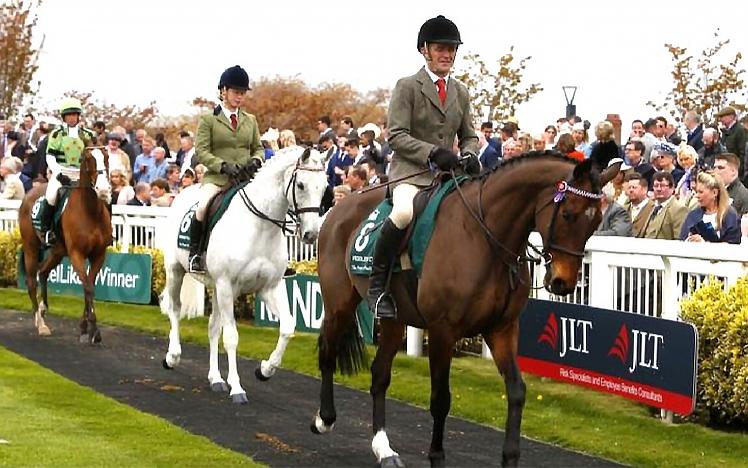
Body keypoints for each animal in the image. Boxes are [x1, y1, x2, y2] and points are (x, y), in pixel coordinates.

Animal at [18, 147, 112, 344]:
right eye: (89, 160)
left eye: (107, 158)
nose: (104, 190)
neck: (90, 212)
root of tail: (29, 193)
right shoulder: (77, 254)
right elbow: (87, 287)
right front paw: (94, 330)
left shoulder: (99, 255)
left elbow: (90, 285)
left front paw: (84, 328)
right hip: (31, 247)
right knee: (31, 281)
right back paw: (41, 324)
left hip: (57, 252)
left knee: (43, 272)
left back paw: (43, 308)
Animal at [161, 146, 328, 402]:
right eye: (300, 185)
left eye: (326, 186)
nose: (311, 234)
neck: (261, 227)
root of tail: (183, 192)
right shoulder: (227, 286)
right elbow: (231, 337)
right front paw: (237, 388)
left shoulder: (269, 288)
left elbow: (287, 327)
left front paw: (265, 370)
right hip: (176, 272)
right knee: (175, 309)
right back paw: (173, 356)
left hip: (215, 287)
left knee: (212, 327)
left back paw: (215, 378)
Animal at [310, 154, 620, 468]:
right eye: (568, 214)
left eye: (595, 221)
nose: (562, 282)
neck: (484, 237)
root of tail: (340, 206)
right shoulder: (442, 331)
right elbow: (440, 399)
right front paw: (437, 457)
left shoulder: (502, 329)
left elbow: (517, 391)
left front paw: (510, 457)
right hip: (339, 305)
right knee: (328, 353)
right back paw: (325, 419)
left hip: (394, 319)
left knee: (380, 374)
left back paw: (384, 450)